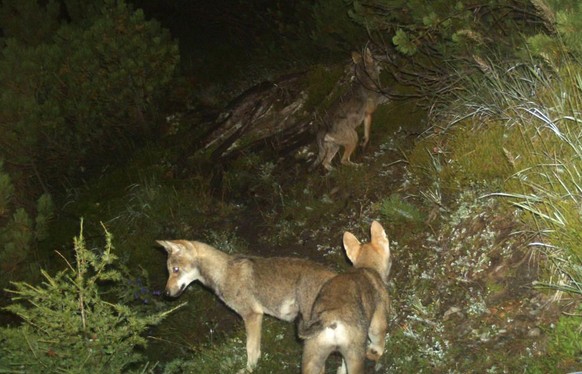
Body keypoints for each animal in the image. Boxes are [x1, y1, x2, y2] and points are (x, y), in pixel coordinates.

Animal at [156, 240, 338, 372]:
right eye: (169, 270)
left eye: (176, 269)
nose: (165, 293)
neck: (223, 273)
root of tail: (336, 276)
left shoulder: (252, 315)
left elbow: (251, 350)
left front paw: (249, 370)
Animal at [302, 222, 392, 374]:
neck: (366, 266)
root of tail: (329, 318)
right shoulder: (377, 321)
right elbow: (378, 339)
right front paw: (376, 352)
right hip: (355, 355)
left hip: (313, 357)